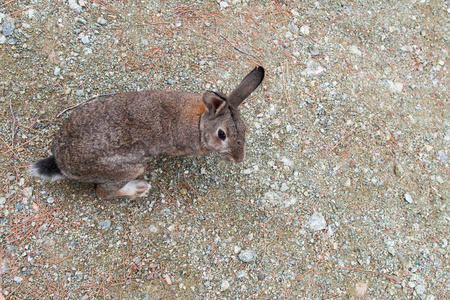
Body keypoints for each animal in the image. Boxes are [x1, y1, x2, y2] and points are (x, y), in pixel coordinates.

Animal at [28, 67, 264, 200]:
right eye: (222, 134)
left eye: (245, 128)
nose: (239, 159)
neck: (200, 122)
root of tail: (61, 163)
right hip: (129, 168)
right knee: (103, 193)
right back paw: (139, 189)